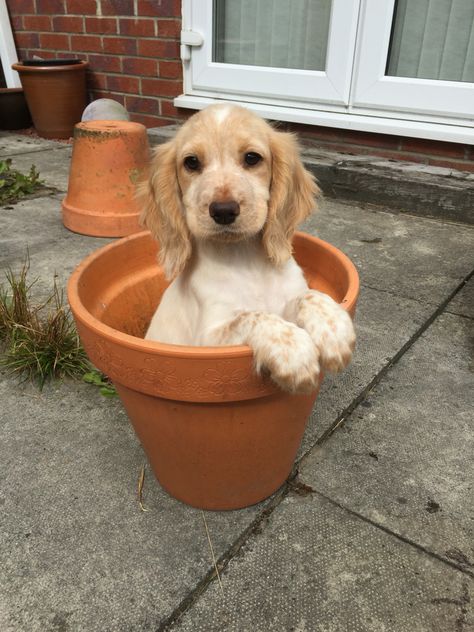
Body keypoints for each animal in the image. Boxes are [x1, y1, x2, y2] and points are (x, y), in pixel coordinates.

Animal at [141, 103, 356, 390]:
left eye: (252, 158)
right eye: (191, 162)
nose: (223, 211)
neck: (244, 258)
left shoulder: (288, 299)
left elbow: (309, 296)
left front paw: (334, 329)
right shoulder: (208, 340)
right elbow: (252, 316)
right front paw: (294, 351)